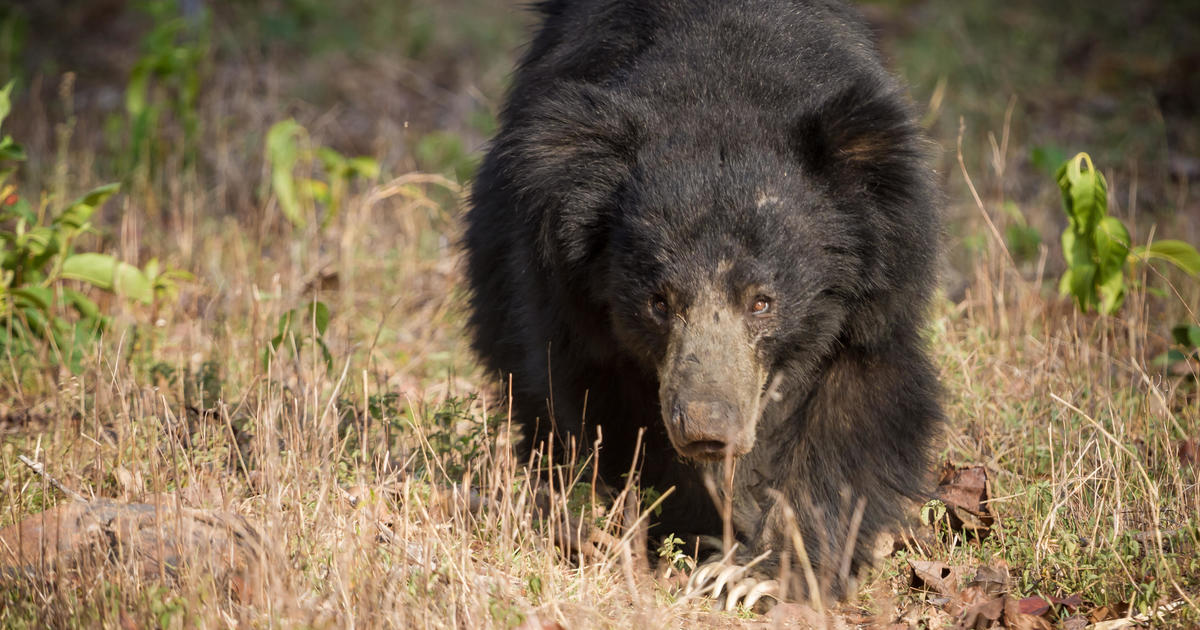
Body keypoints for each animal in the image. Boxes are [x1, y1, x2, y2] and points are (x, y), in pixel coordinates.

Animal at [463, 0, 940, 600]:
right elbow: (610, 413)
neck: (723, 86)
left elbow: (856, 414)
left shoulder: (878, 287)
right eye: (659, 303)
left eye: (762, 303)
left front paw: (758, 577)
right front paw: (688, 535)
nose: (707, 429)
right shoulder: (573, 304)